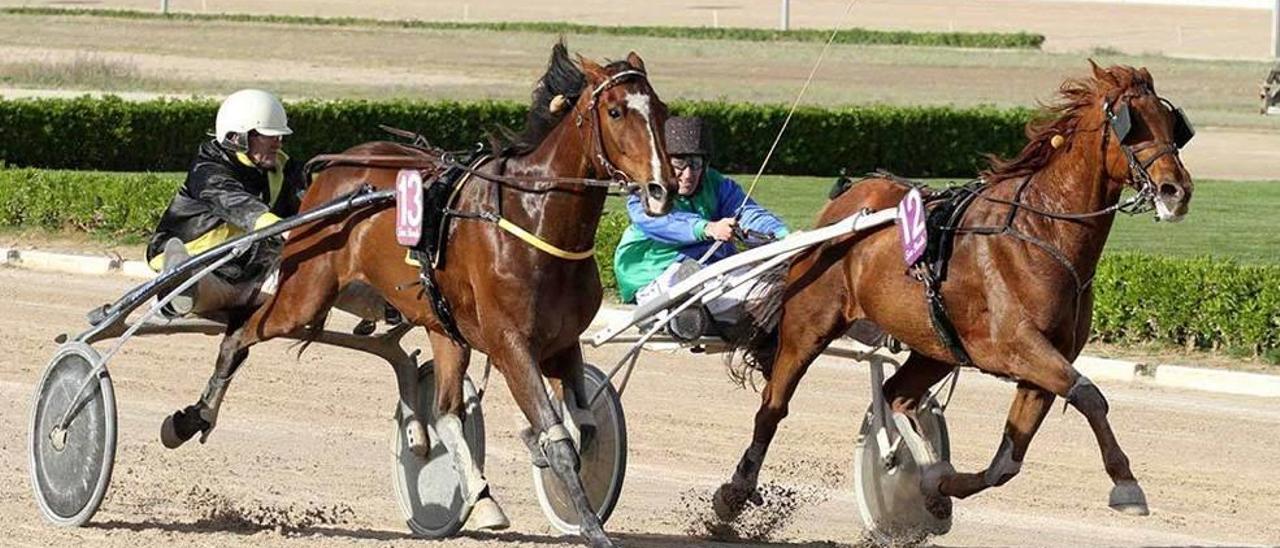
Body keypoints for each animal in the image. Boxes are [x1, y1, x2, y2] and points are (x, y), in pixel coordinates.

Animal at [161, 43, 675, 548]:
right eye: (614, 111)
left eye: (662, 110)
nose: (662, 188)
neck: (532, 219)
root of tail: (336, 168)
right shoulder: (511, 344)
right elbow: (562, 440)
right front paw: (591, 526)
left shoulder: (561, 343)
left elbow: (583, 427)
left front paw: (537, 452)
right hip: (304, 294)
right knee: (239, 334)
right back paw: (191, 419)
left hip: (441, 326)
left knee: (445, 412)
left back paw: (481, 499)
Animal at [716, 64, 1192, 527]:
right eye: (1130, 125)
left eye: (1171, 123)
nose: (1177, 191)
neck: (1042, 231)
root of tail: (842, 205)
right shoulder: (1017, 345)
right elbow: (1090, 396)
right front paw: (1127, 485)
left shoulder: (1042, 365)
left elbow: (1007, 463)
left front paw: (935, 485)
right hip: (808, 325)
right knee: (773, 405)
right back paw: (734, 493)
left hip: (936, 346)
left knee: (896, 394)